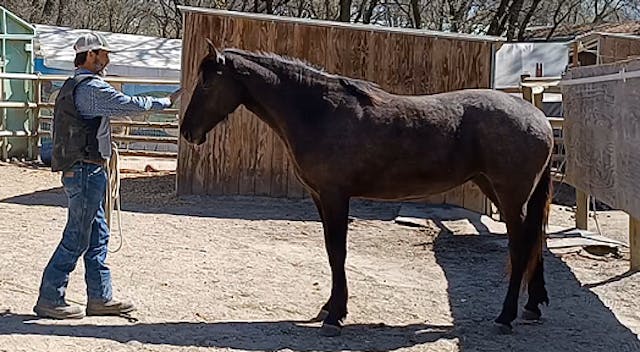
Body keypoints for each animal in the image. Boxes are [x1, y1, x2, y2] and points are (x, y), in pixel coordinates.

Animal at [181, 40, 556, 336]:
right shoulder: (320, 197)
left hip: (510, 196)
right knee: (534, 240)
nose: (187, 132)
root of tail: (536, 115)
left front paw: (335, 317)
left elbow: (337, 252)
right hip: (496, 188)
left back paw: (505, 316)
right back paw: (532, 307)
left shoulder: (335, 196)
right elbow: (331, 252)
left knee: (520, 247)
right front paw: (330, 307)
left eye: (206, 84)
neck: (319, 111)